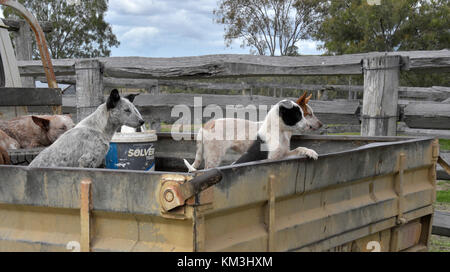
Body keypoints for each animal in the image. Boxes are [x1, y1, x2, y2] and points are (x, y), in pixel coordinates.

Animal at [185, 92, 322, 171]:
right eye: (306, 115)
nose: (321, 125)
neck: (281, 132)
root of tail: (205, 125)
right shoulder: (270, 159)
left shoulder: (284, 155)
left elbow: (299, 148)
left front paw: (310, 152)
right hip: (214, 157)